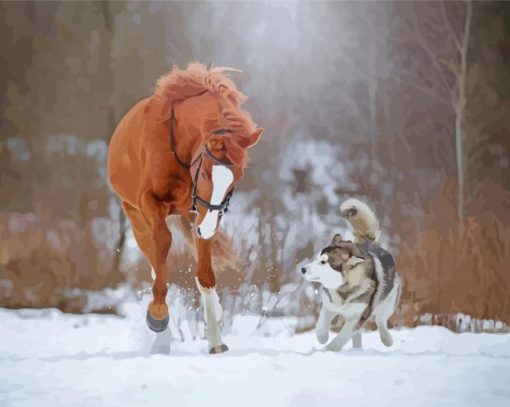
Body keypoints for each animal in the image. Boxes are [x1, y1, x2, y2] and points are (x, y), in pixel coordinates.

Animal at [109, 63, 264, 354]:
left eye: (236, 179)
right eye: (204, 174)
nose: (206, 229)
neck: (178, 147)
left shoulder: (200, 213)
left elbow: (205, 273)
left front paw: (216, 340)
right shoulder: (150, 203)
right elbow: (162, 245)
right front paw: (157, 316)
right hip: (134, 215)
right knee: (154, 258)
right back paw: (160, 334)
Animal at [298, 199, 402, 352]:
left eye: (323, 262)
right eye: (317, 259)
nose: (303, 269)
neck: (344, 289)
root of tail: (368, 242)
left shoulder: (358, 317)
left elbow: (342, 336)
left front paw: (330, 349)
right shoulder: (328, 306)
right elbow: (321, 327)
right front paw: (323, 338)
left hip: (388, 301)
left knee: (381, 320)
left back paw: (386, 339)